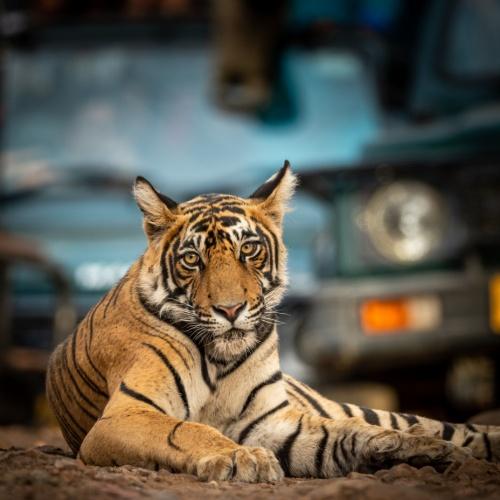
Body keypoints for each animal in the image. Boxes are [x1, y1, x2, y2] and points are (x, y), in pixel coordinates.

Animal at [45, 162, 498, 482]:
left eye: (249, 250)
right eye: (192, 259)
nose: (230, 310)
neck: (221, 359)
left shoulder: (274, 421)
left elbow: (347, 432)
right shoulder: (124, 415)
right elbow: (187, 430)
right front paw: (240, 456)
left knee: (435, 426)